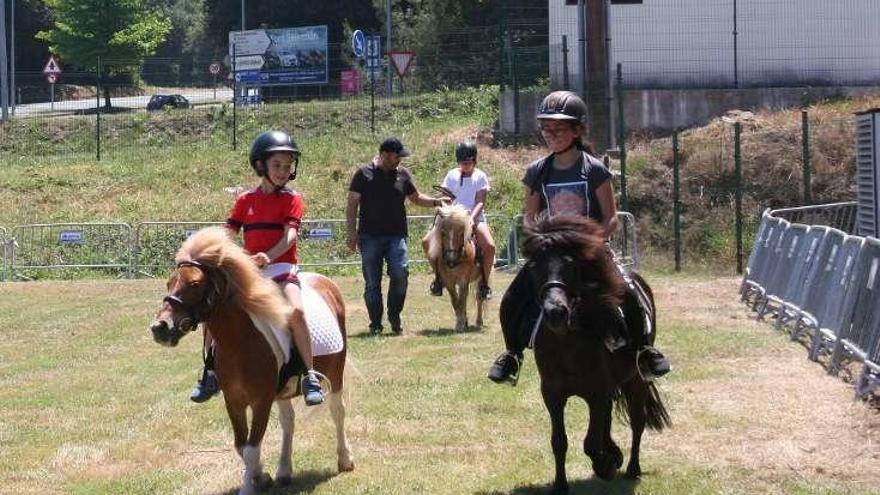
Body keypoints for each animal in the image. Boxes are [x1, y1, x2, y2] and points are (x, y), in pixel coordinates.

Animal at [150, 229, 352, 495]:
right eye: (169, 283)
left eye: (194, 284)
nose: (159, 328)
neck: (240, 341)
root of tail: (323, 281)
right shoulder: (234, 401)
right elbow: (241, 445)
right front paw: (261, 476)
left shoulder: (260, 402)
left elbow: (251, 448)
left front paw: (249, 485)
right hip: (283, 391)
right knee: (288, 422)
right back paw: (284, 471)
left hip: (336, 373)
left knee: (338, 412)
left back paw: (345, 459)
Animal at [424, 203, 484, 332]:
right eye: (443, 233)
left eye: (462, 233)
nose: (451, 259)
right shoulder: (448, 281)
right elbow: (456, 301)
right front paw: (460, 323)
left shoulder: (463, 279)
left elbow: (461, 300)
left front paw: (461, 324)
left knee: (479, 297)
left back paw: (479, 322)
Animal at [516, 216, 668, 492]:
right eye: (533, 267)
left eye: (571, 265)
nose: (556, 312)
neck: (567, 343)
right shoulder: (553, 394)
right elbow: (559, 441)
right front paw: (561, 484)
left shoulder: (598, 392)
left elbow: (590, 441)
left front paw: (606, 464)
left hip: (636, 380)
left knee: (637, 422)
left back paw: (632, 469)